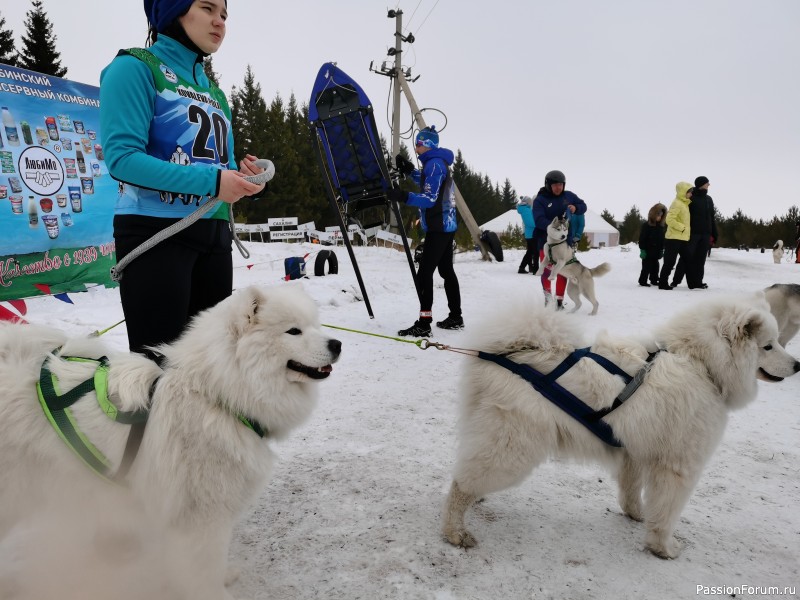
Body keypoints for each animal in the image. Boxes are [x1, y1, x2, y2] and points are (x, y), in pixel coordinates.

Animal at [0, 284, 340, 596]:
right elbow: (204, 569)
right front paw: (215, 593)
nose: (337, 343)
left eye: (315, 325)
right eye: (293, 331)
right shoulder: (202, 517)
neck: (216, 396)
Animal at [440, 292, 796, 560]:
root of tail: (502, 354)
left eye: (777, 342)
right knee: (461, 485)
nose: (797, 365)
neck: (700, 363)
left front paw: (637, 515)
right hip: (514, 447)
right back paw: (455, 532)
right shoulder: (679, 466)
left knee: (467, 470)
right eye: (768, 346)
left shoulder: (634, 451)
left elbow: (631, 491)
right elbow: (667, 512)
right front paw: (663, 548)